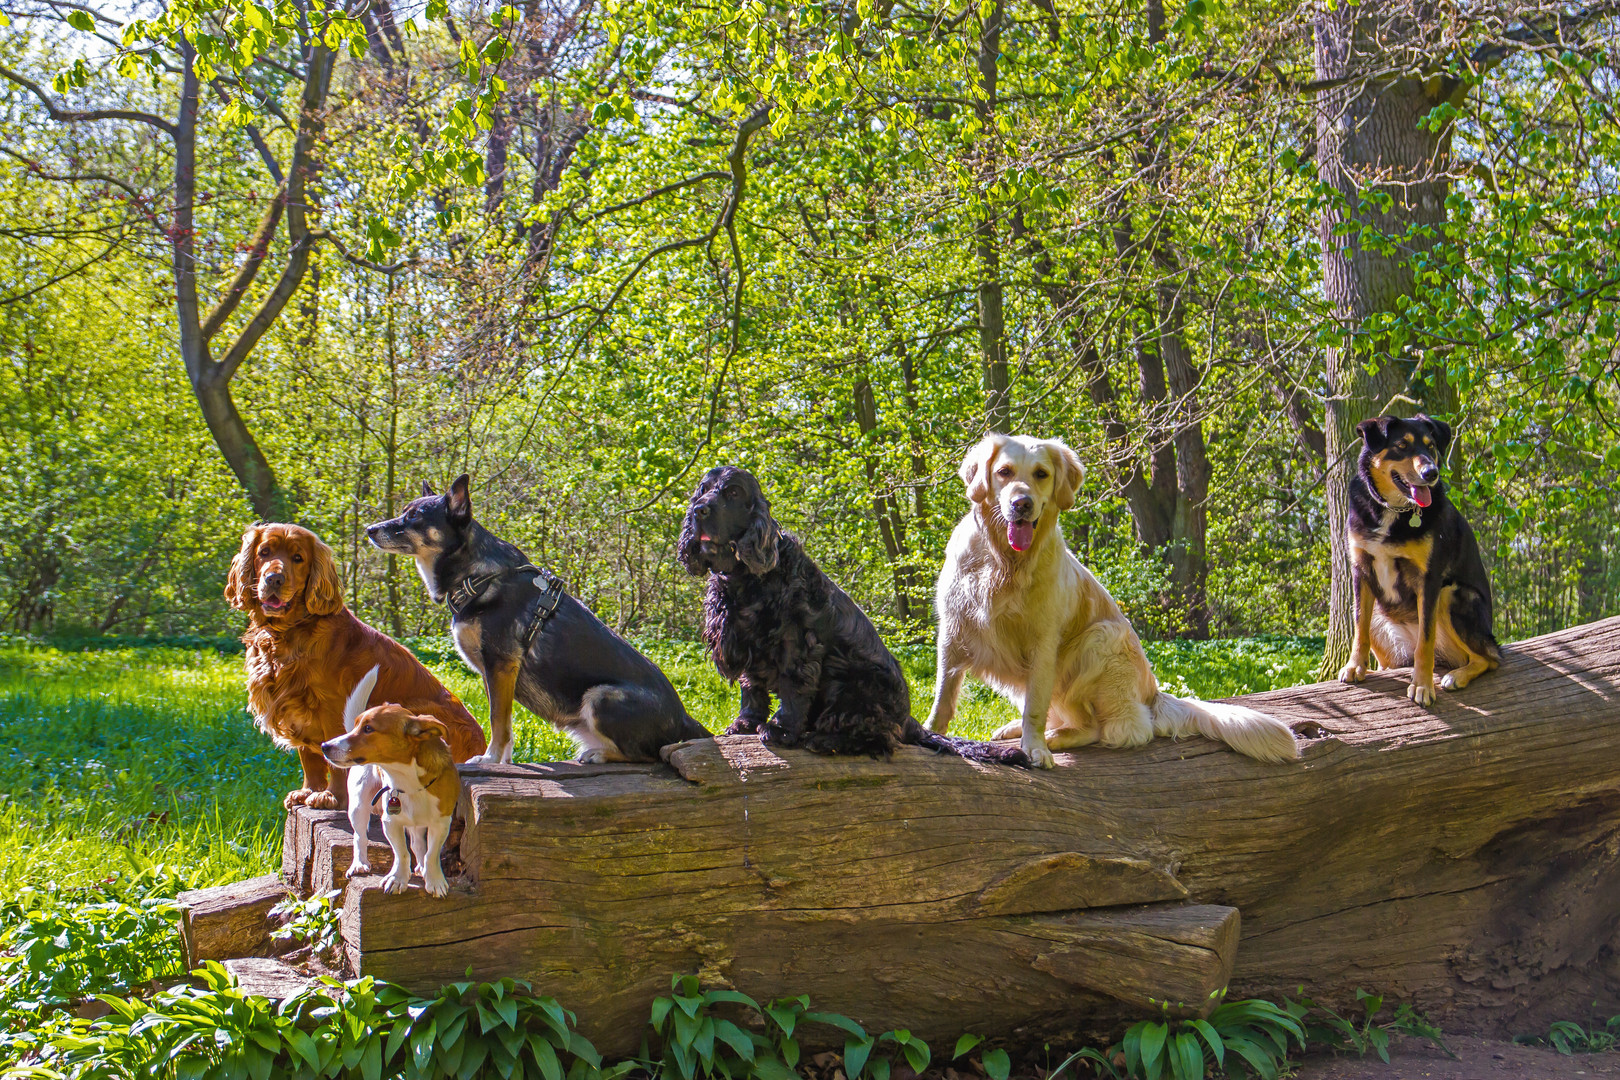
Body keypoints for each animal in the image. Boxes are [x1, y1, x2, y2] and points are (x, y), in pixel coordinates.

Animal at [369, 476, 709, 764]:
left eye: (415, 517)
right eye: (404, 511)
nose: (371, 529)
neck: (477, 576)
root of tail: (684, 718)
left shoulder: (501, 665)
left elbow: (498, 722)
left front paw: (490, 759)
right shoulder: (494, 675)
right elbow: (503, 721)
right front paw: (503, 761)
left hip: (601, 696)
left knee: (649, 755)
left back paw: (600, 755)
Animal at [1334, 417, 1496, 709]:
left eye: (1431, 446)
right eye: (1401, 446)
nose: (1431, 473)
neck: (1393, 509)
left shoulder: (1429, 579)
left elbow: (1425, 641)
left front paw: (1422, 686)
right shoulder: (1361, 571)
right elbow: (1359, 628)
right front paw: (1355, 666)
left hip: (1451, 594)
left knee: (1490, 658)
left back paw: (1456, 676)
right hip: (1381, 616)